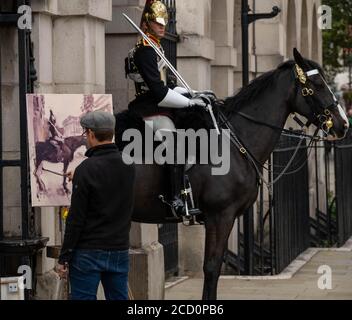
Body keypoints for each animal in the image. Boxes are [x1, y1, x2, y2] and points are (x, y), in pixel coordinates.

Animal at [116, 48, 350, 298]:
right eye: (317, 84)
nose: (343, 124)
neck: (234, 142)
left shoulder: (225, 217)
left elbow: (215, 268)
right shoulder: (220, 216)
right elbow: (211, 267)